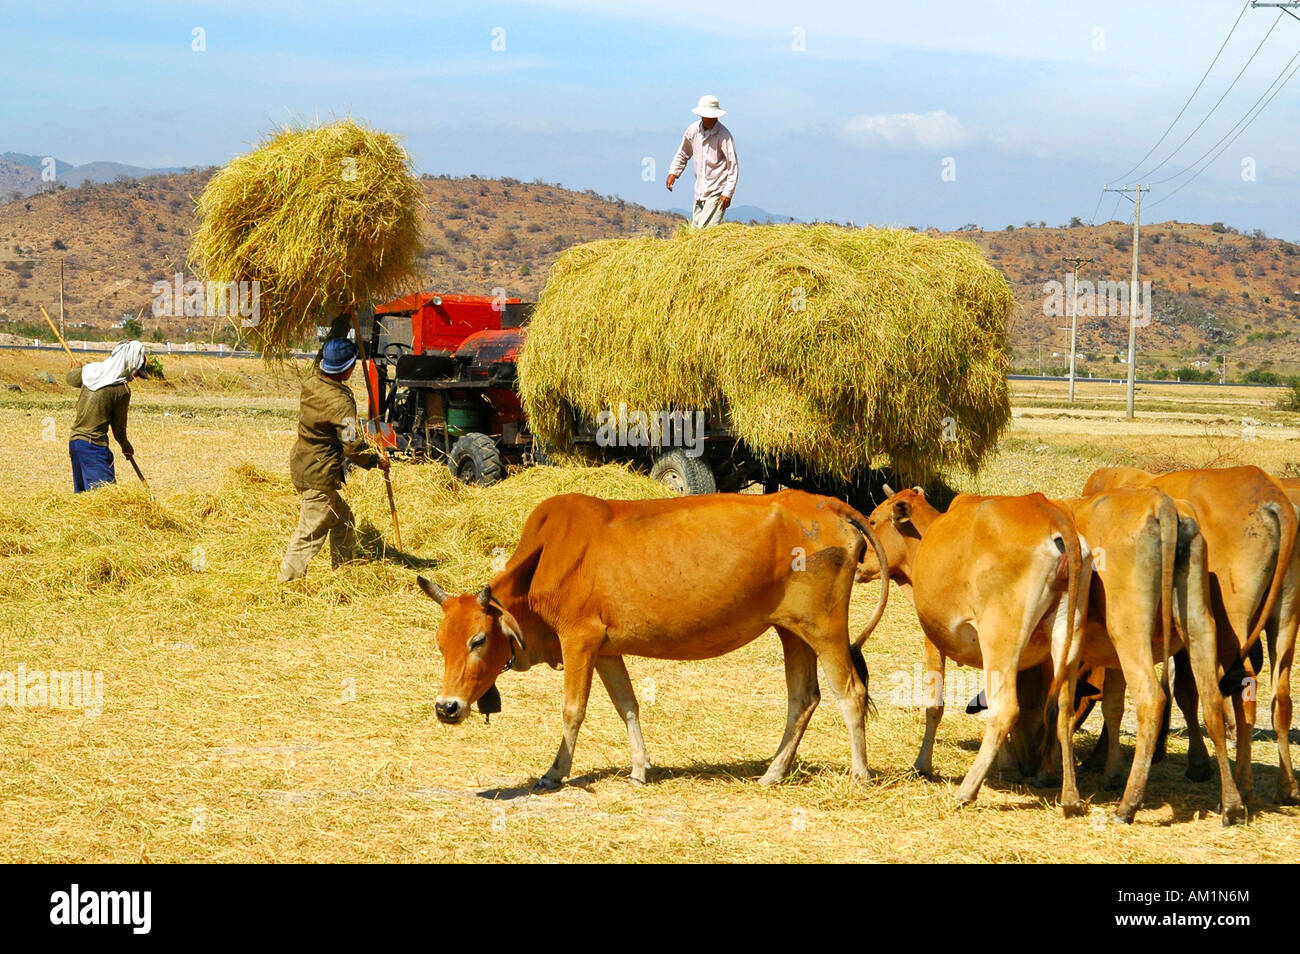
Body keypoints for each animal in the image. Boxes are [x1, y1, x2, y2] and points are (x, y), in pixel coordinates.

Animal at [416, 493, 883, 790]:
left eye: (478, 640)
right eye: (440, 644)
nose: (446, 707)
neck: (546, 557)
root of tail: (830, 504)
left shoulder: (579, 639)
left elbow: (572, 710)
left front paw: (554, 772)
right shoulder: (606, 649)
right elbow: (627, 705)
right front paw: (641, 769)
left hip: (824, 627)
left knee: (850, 693)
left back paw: (859, 776)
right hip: (792, 630)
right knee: (803, 699)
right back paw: (772, 773)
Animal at [852, 493, 1086, 816]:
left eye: (873, 521)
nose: (860, 562)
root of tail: (1050, 513)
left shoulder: (933, 640)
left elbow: (935, 707)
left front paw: (922, 765)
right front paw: (1012, 765)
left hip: (999, 639)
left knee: (1006, 711)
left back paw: (966, 791)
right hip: (1067, 638)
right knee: (1063, 709)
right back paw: (1071, 796)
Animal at [1086, 467, 1300, 805]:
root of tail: (1273, 498)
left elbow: (1180, 693)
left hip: (1232, 624)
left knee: (1244, 687)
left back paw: (1242, 783)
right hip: (1286, 619)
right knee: (1282, 697)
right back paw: (1287, 787)